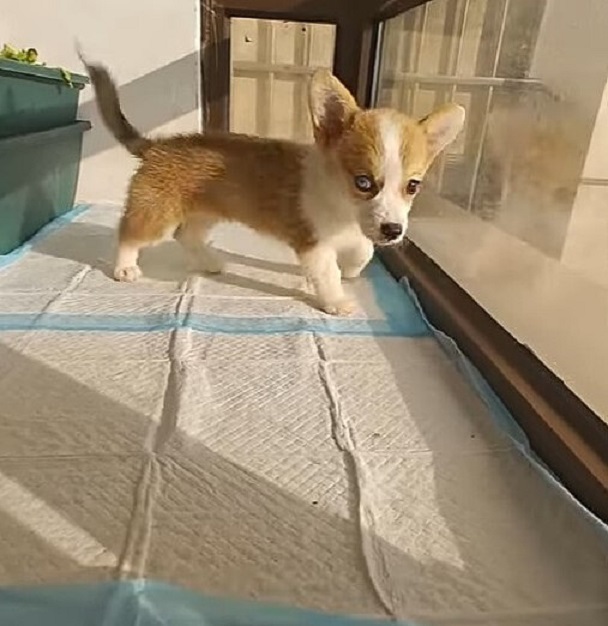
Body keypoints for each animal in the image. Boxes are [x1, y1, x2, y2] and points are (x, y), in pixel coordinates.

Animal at [79, 58, 460, 312]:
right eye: (363, 182)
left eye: (413, 186)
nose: (394, 231)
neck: (343, 208)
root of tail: (154, 146)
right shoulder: (314, 246)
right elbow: (328, 273)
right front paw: (336, 299)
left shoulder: (356, 234)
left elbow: (363, 252)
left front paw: (352, 270)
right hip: (157, 214)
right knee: (130, 233)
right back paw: (125, 267)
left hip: (206, 213)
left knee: (186, 235)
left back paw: (209, 261)